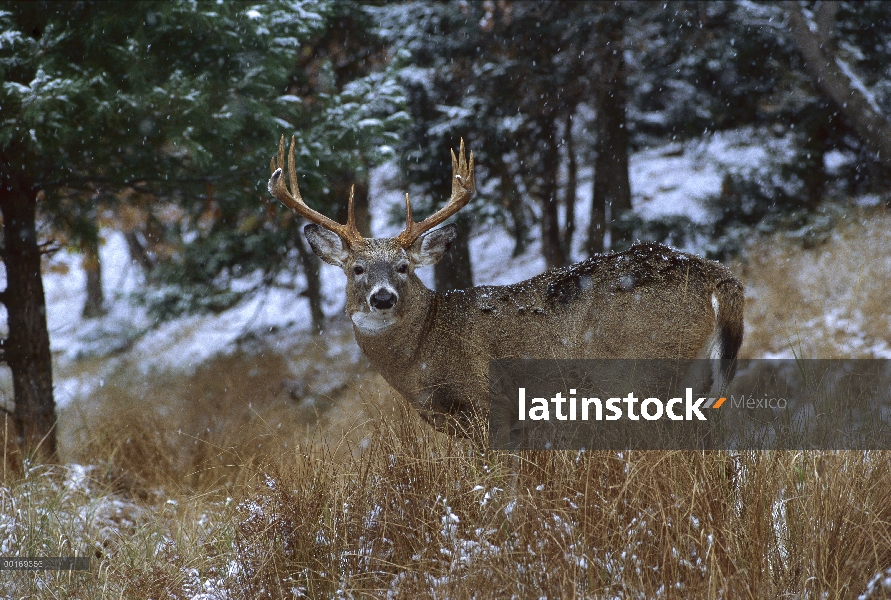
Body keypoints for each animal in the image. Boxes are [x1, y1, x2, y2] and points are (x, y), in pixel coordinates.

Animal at [266, 136, 744, 440]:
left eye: (403, 267)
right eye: (357, 269)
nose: (383, 297)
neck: (425, 353)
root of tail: (717, 276)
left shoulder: (488, 404)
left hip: (650, 371)